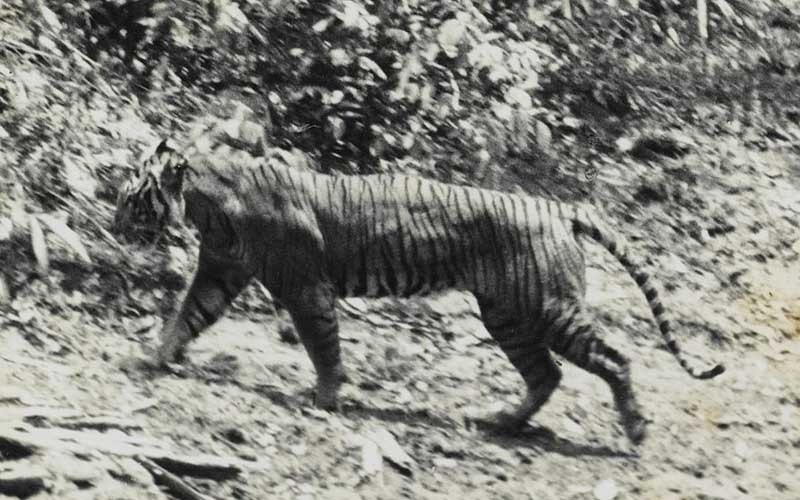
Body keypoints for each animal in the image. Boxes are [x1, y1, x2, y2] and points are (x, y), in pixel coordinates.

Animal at [114, 138, 724, 444]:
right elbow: (187, 316)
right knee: (545, 374)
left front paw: (326, 398)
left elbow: (322, 346)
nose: (114, 222)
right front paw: (154, 358)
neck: (206, 206)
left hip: (550, 309)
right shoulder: (219, 272)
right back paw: (503, 422)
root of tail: (557, 206)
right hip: (507, 315)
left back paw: (636, 429)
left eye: (130, 196)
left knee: (614, 358)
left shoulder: (305, 289)